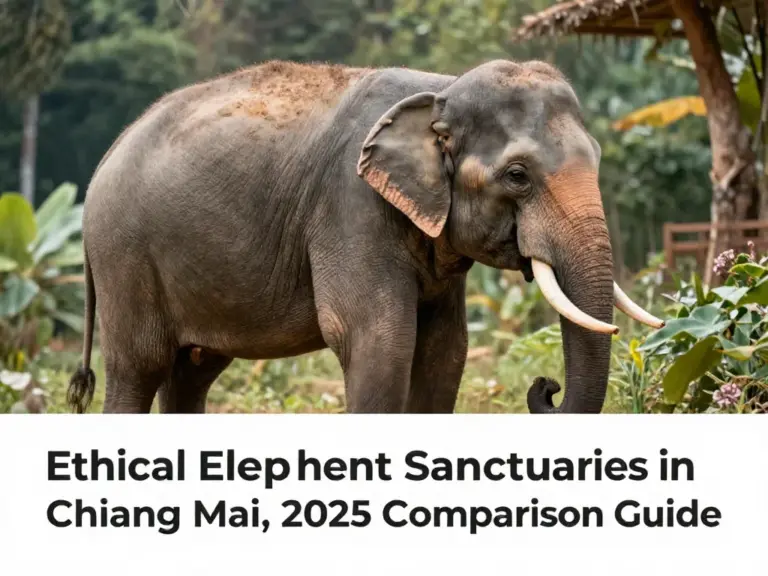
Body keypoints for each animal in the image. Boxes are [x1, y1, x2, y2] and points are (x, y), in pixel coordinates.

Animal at [66, 58, 663, 415]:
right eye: (517, 175)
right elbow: (377, 339)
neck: (441, 89)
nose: (546, 387)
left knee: (192, 372)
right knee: (138, 367)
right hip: (125, 256)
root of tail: (102, 163)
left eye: (598, 158)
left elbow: (446, 351)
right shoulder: (350, 208)